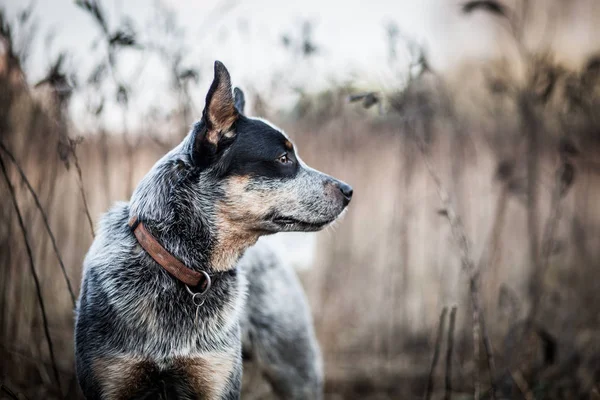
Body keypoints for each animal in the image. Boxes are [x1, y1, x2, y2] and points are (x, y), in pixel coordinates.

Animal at [74, 60, 352, 400]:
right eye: (284, 158)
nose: (349, 190)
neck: (180, 266)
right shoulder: (112, 378)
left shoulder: (215, 379)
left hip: (295, 369)